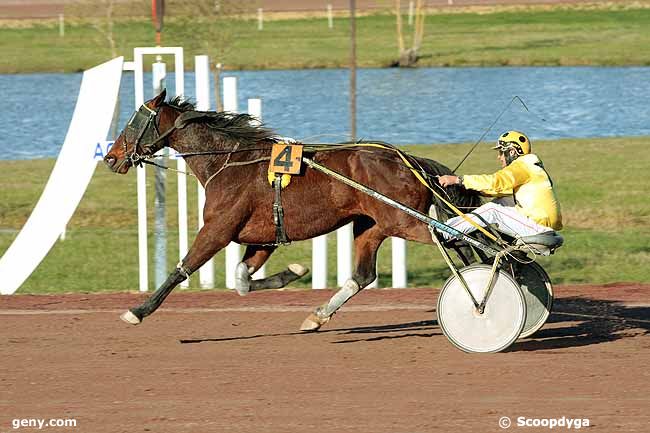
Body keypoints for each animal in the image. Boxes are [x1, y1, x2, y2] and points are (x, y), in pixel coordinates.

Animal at [101, 89, 476, 330]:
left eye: (133, 122)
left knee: (458, 240)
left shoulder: (217, 230)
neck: (229, 163)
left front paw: (138, 310)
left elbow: (183, 269)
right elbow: (242, 281)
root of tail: (408, 160)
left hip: (404, 220)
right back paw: (318, 315)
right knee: (363, 276)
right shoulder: (262, 237)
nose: (111, 158)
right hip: (372, 225)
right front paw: (294, 271)